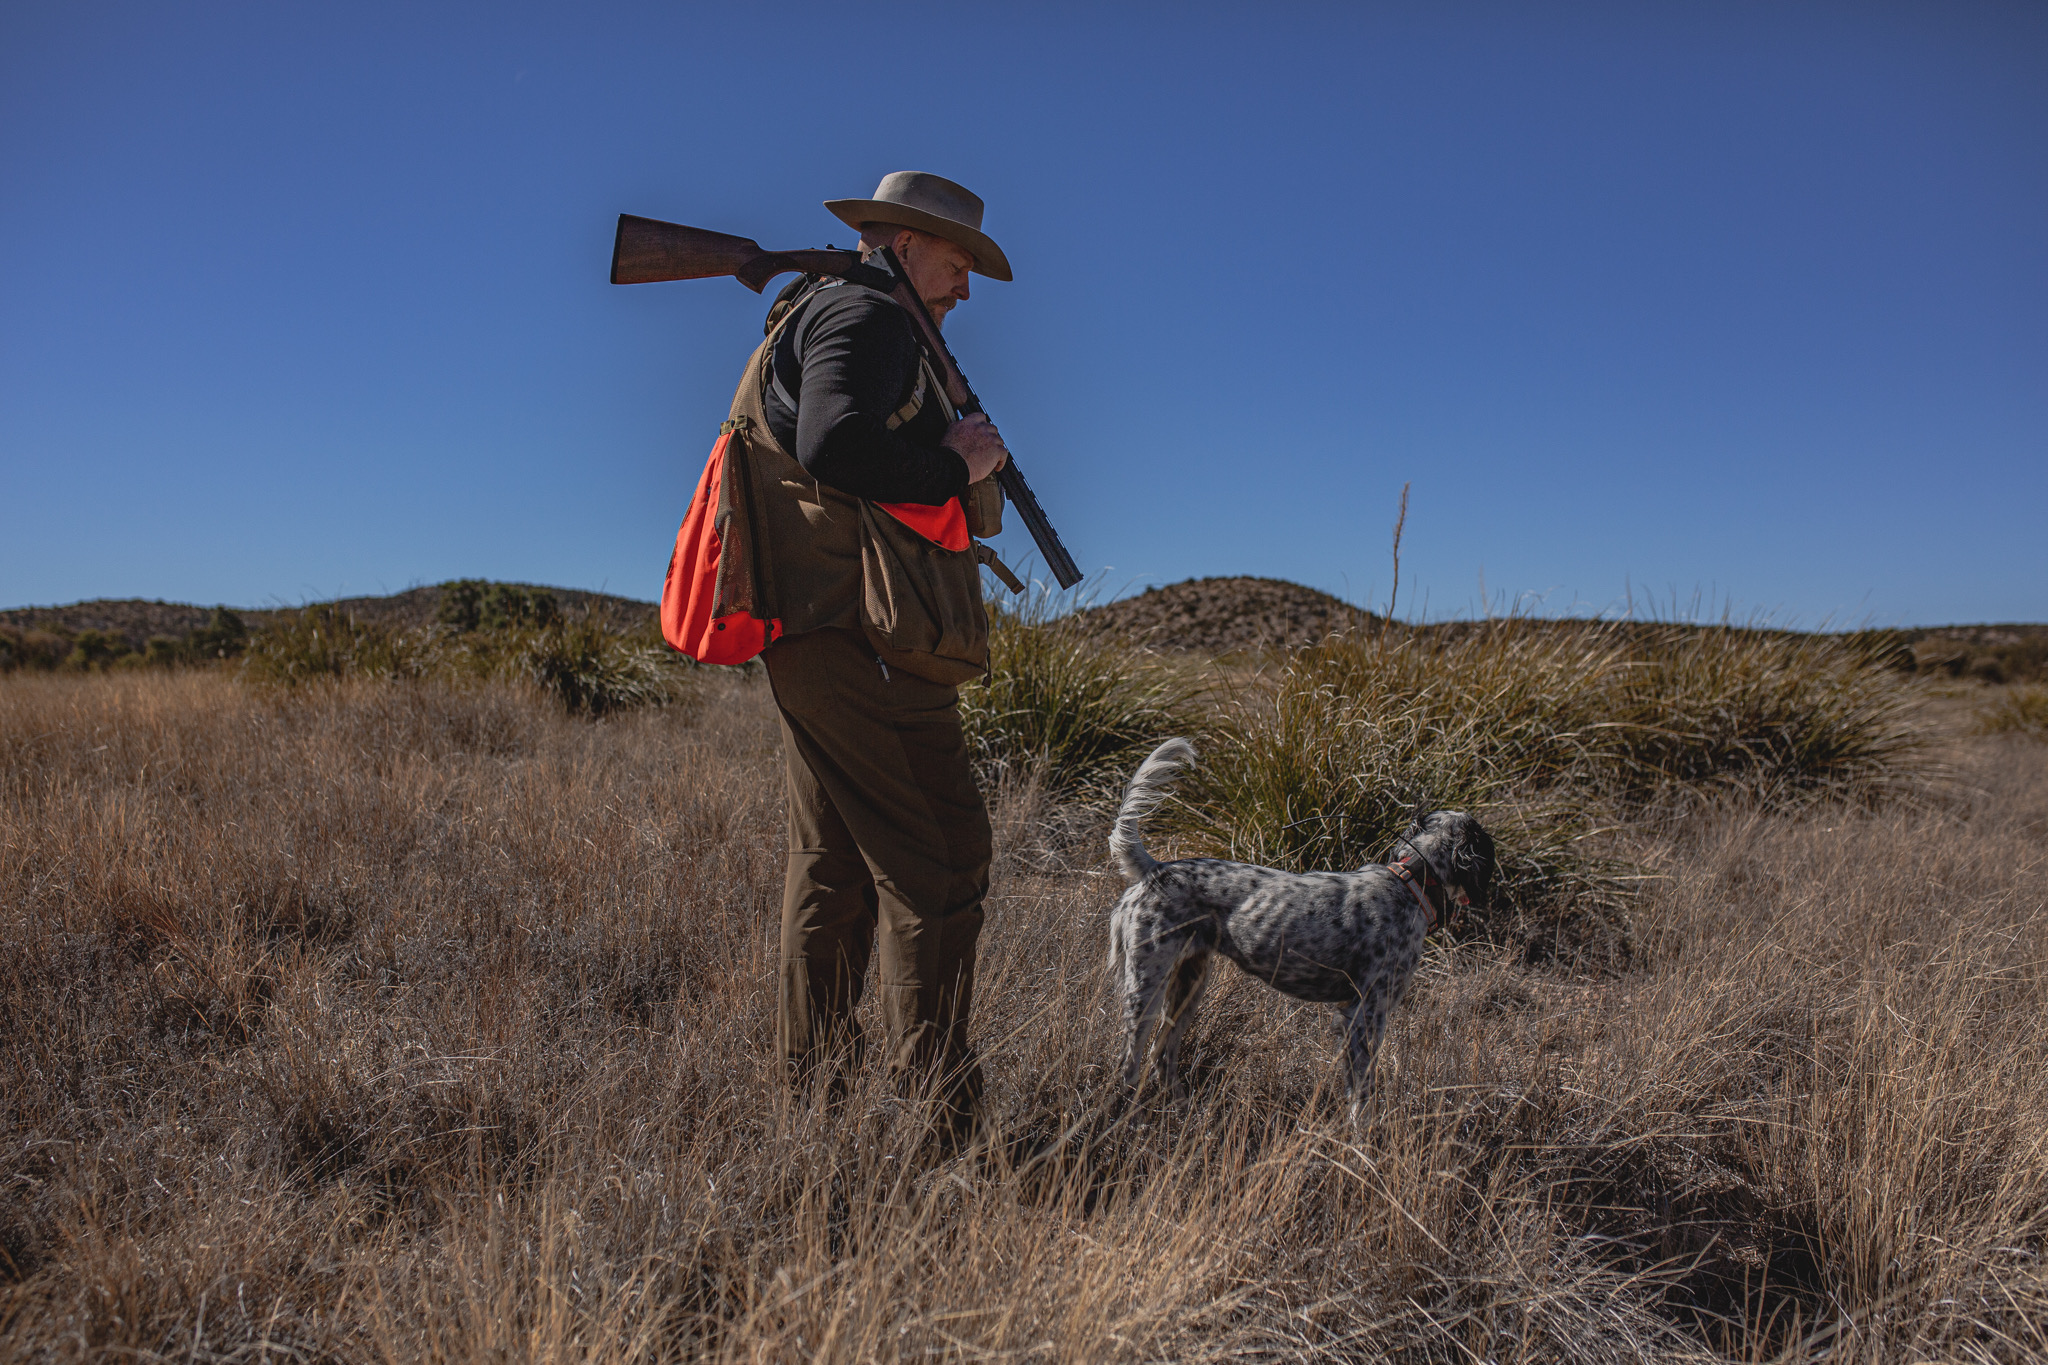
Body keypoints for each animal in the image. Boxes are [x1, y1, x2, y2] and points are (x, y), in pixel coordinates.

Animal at [1114, 736, 1499, 1121]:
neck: (1411, 880)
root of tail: (1157, 869)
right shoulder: (1366, 1012)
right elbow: (1363, 1091)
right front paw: (1362, 1132)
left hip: (1189, 985)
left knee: (1163, 1056)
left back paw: (1184, 1110)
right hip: (1147, 987)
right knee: (1129, 1063)